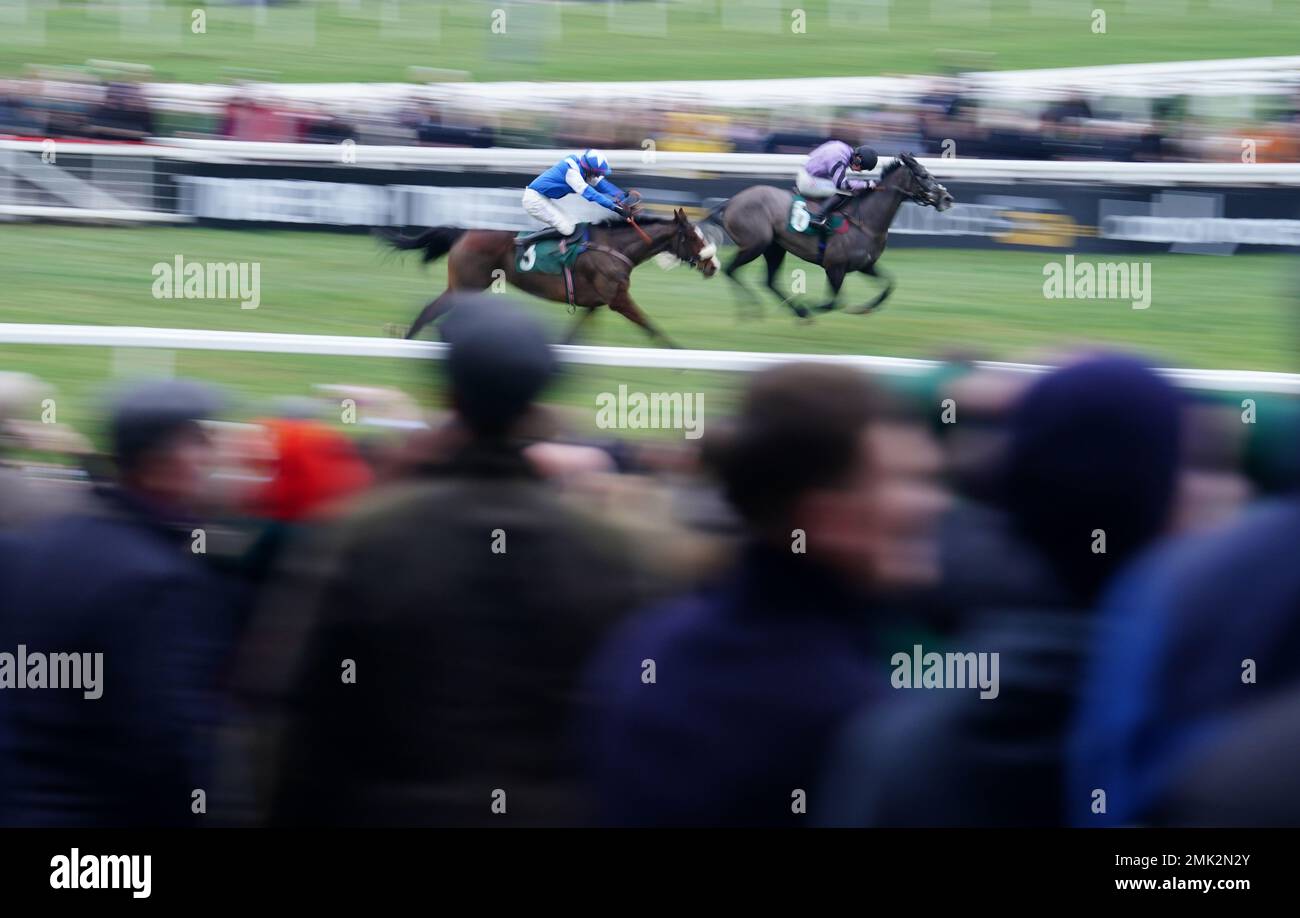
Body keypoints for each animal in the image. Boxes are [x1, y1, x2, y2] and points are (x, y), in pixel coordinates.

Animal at [377, 208, 722, 345]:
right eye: (694, 237)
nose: (713, 266)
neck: (614, 246)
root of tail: (463, 233)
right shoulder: (618, 299)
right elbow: (652, 327)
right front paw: (681, 357)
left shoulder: (594, 303)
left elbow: (572, 336)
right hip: (466, 286)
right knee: (429, 312)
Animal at [717, 152, 951, 315]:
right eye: (924, 175)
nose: (948, 198)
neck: (865, 221)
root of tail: (732, 202)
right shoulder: (835, 267)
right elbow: (833, 302)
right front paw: (813, 306)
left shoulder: (865, 266)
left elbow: (888, 286)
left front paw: (864, 308)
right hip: (756, 244)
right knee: (730, 270)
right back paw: (753, 309)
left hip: (774, 247)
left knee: (768, 281)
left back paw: (793, 312)